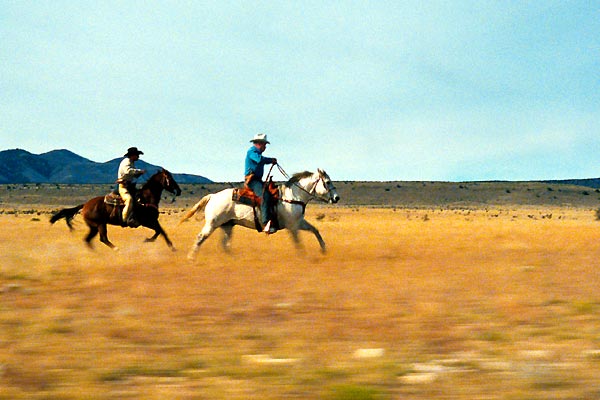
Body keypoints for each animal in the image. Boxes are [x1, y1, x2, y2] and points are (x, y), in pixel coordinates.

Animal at [50, 169, 182, 250]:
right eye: (170, 178)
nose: (179, 190)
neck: (146, 199)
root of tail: (85, 205)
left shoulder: (153, 221)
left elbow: (162, 231)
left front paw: (172, 247)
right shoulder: (147, 222)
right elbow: (158, 231)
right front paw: (147, 240)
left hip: (94, 227)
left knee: (88, 240)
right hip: (100, 224)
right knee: (103, 238)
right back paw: (116, 249)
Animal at [180, 168, 340, 260]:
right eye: (327, 182)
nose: (337, 198)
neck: (293, 196)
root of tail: (213, 196)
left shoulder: (298, 223)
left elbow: (315, 230)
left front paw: (324, 249)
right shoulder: (292, 226)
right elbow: (298, 242)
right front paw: (303, 256)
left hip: (227, 226)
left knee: (224, 244)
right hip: (212, 224)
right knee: (201, 237)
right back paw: (191, 258)